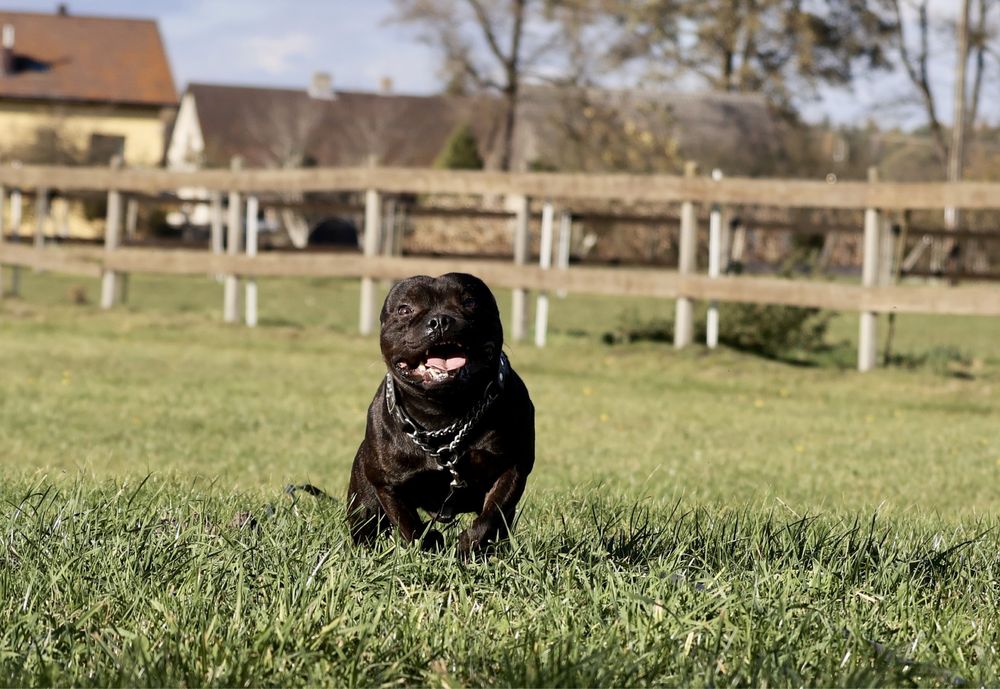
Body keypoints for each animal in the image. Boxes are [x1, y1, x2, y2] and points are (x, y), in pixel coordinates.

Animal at [346, 272, 532, 556]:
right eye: (404, 309)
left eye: (470, 302)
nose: (440, 320)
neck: (443, 415)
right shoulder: (388, 485)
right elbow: (408, 523)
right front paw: (429, 545)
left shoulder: (512, 468)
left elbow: (492, 515)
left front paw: (469, 546)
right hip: (364, 504)